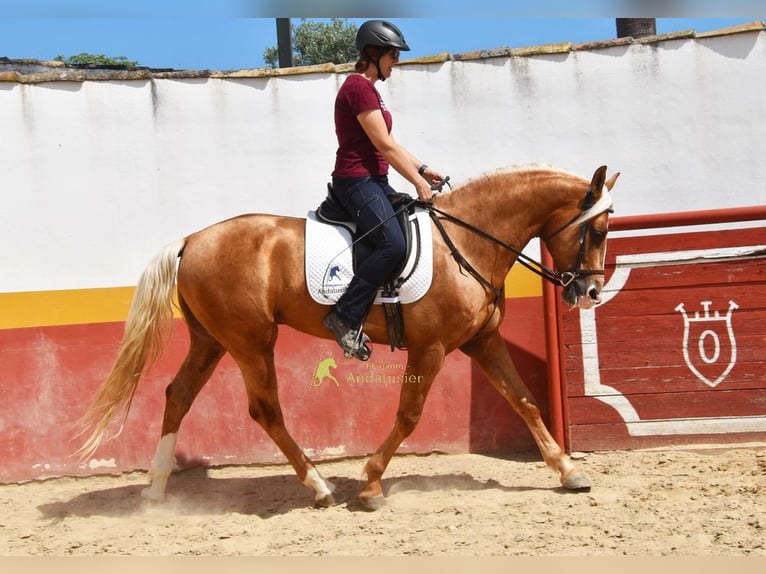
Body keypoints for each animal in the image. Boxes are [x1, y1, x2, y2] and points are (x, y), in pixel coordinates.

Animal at [76, 163, 619, 510]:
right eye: (597, 232)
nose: (591, 291)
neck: (467, 242)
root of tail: (190, 240)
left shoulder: (482, 341)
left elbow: (524, 401)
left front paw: (568, 471)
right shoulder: (431, 348)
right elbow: (409, 414)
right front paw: (371, 483)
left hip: (211, 341)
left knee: (179, 395)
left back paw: (155, 492)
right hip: (251, 341)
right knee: (264, 410)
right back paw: (318, 486)